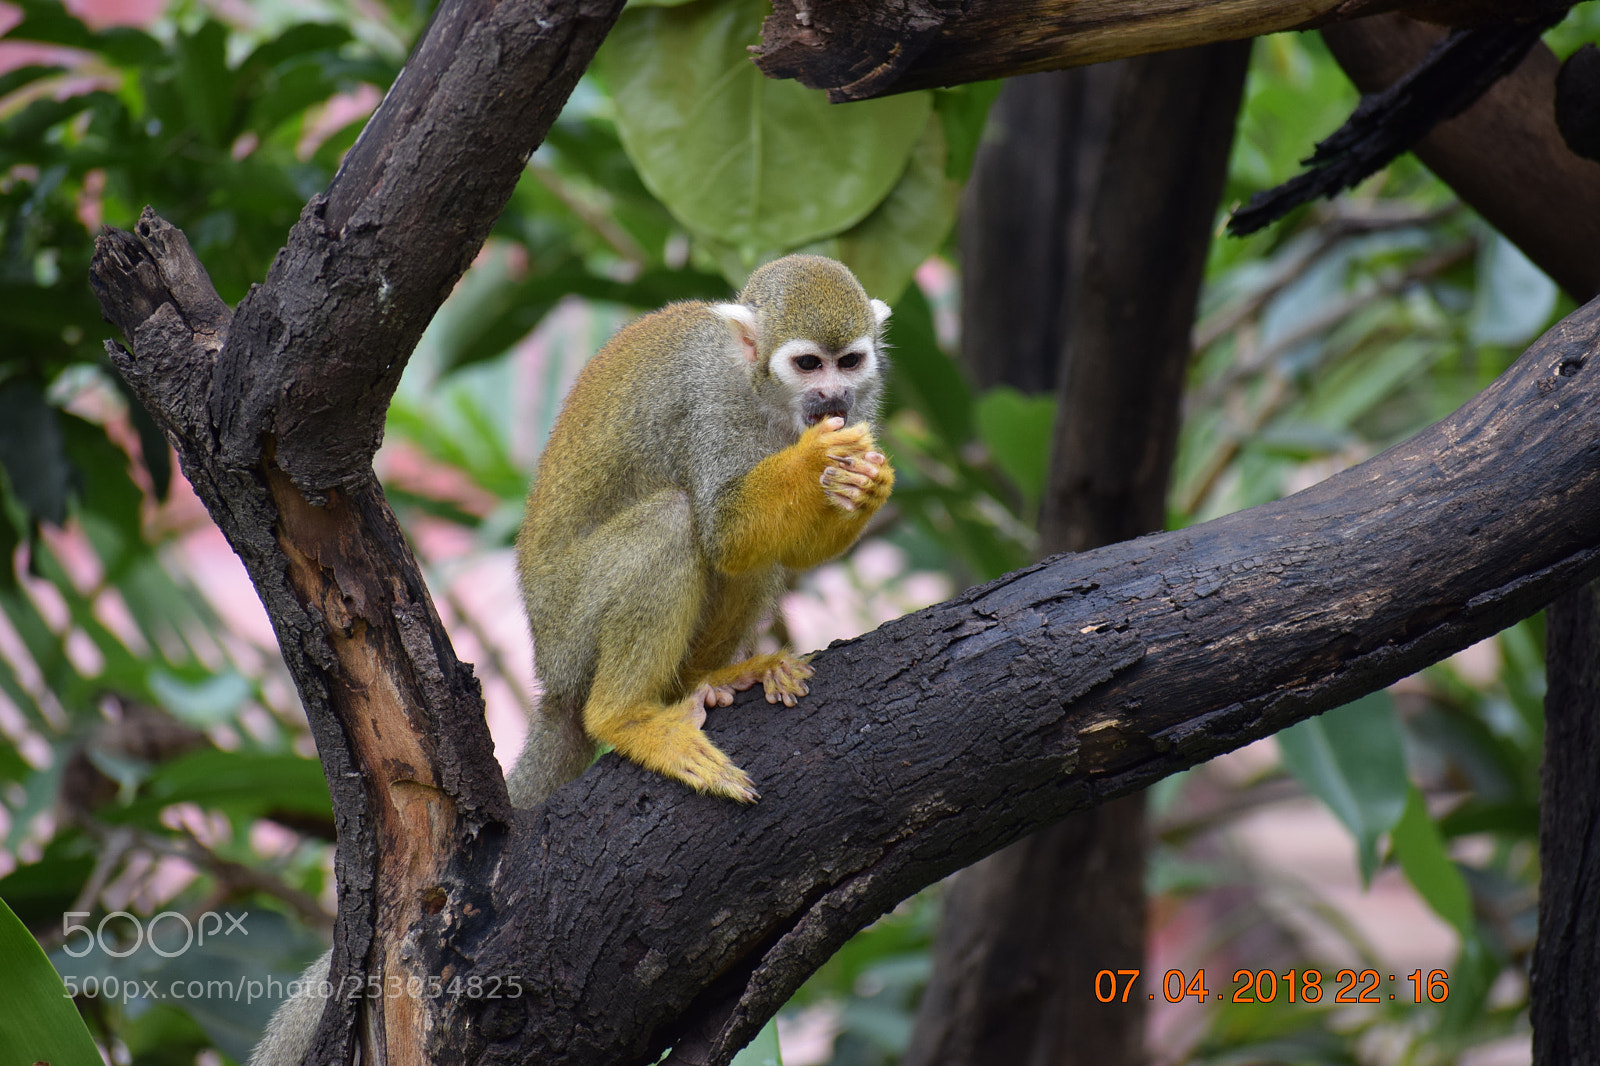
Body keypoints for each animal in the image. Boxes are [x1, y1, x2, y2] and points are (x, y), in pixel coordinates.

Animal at [248, 254, 892, 1064]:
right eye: (807, 364)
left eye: (850, 362)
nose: (832, 399)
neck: (767, 398)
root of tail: (551, 677)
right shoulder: (715, 407)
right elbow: (725, 525)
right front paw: (817, 462)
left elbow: (761, 545)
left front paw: (865, 481)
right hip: (573, 623)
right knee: (675, 520)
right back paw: (626, 717)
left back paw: (708, 681)